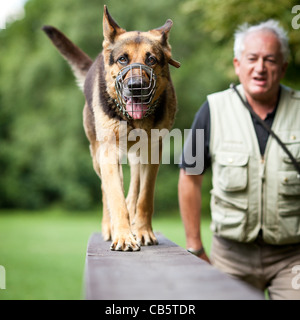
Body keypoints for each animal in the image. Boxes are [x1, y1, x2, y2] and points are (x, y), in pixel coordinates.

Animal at [41, 5, 179, 250]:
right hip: (98, 156)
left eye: (151, 59)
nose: (136, 87)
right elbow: (115, 197)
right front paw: (122, 235)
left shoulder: (153, 152)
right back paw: (110, 227)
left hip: (136, 156)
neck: (132, 119)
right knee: (107, 190)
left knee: (134, 186)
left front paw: (142, 231)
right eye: (123, 59)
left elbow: (144, 197)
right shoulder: (108, 153)